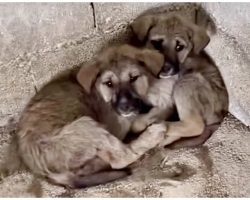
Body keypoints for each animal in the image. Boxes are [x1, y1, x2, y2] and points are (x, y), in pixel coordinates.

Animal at [1, 44, 168, 189]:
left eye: (133, 78)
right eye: (109, 83)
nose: (125, 107)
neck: (98, 93)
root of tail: (39, 170)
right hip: (86, 125)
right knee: (120, 158)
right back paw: (153, 134)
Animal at [131, 12, 229, 147]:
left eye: (179, 47)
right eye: (156, 43)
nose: (165, 68)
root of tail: (222, 115)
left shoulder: (168, 103)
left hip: (186, 82)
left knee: (195, 126)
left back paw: (160, 128)